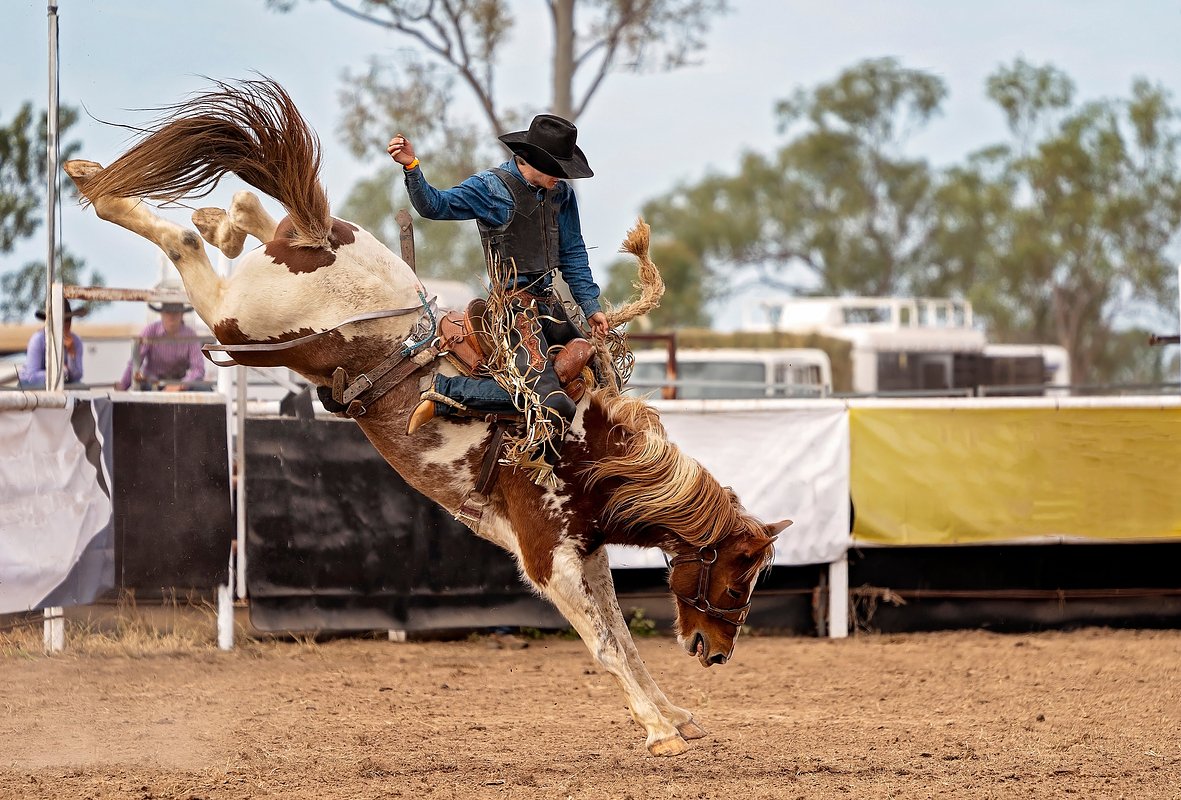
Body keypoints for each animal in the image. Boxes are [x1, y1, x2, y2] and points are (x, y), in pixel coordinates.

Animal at [64, 78, 791, 756]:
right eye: (738, 579)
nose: (716, 652)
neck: (587, 453)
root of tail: (323, 238)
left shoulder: (586, 556)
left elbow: (620, 635)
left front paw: (674, 715)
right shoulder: (549, 559)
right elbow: (607, 644)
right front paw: (659, 730)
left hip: (273, 297)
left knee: (254, 220)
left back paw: (200, 207)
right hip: (241, 326)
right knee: (186, 244)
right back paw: (102, 187)